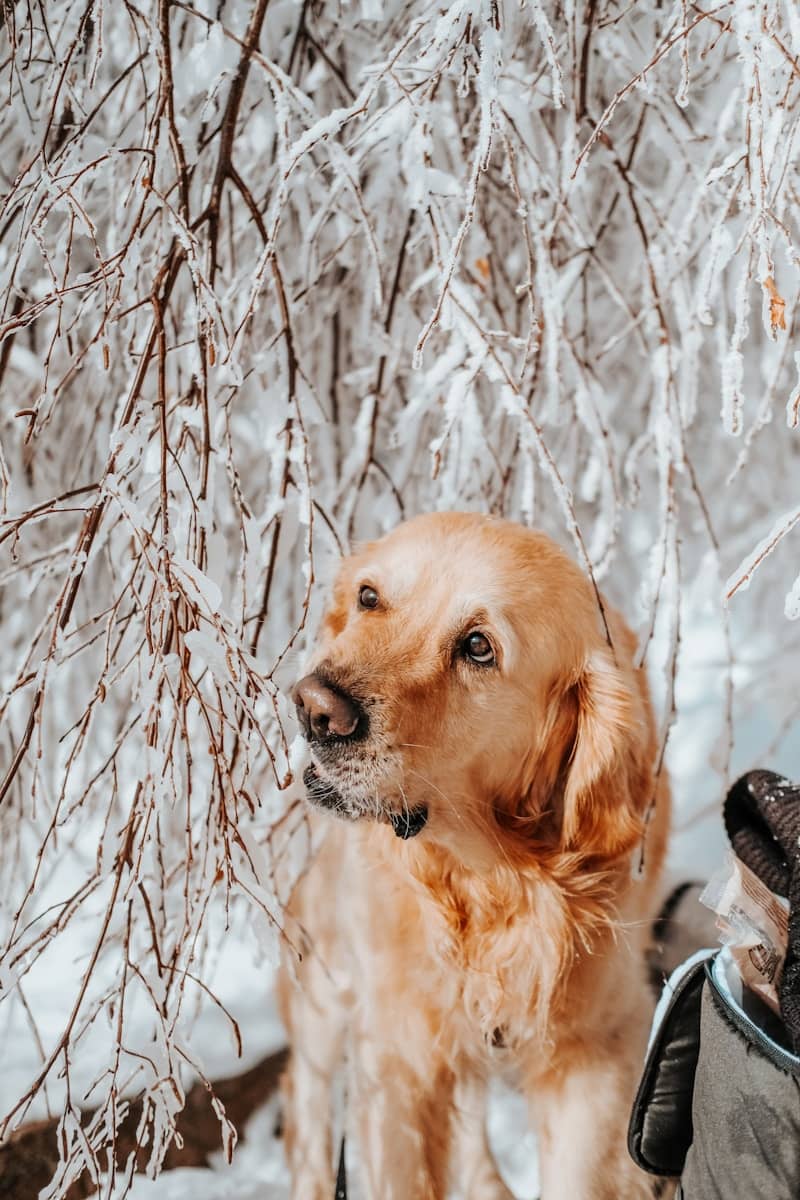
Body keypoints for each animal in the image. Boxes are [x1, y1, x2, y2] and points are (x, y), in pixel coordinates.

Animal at [275, 513, 671, 1200]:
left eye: (479, 647)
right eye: (369, 598)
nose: (316, 710)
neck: (486, 884)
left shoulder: (596, 1054)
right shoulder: (399, 1061)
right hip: (323, 987)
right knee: (305, 1090)